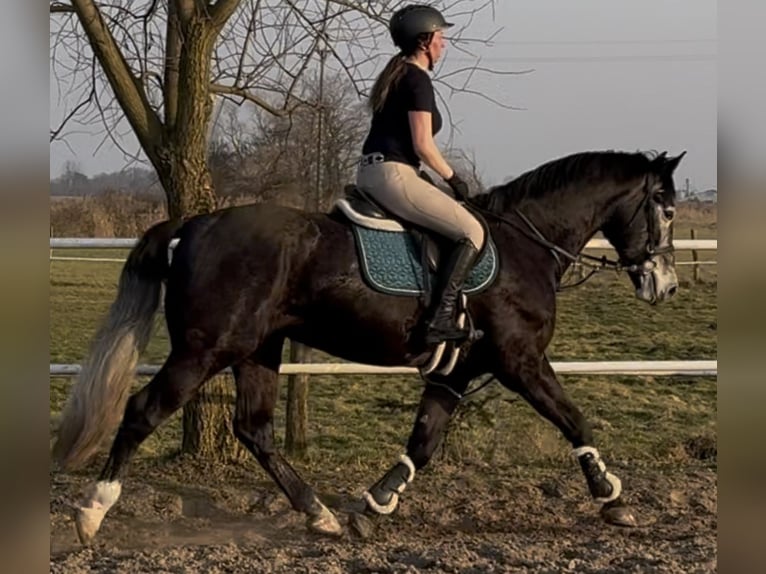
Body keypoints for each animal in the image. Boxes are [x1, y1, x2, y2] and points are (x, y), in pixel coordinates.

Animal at [57, 148, 688, 544]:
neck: (525, 244)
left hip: (257, 350)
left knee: (254, 430)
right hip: (205, 350)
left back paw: (320, 516)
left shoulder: (457, 371)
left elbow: (425, 442)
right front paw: (612, 497)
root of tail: (194, 224)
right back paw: (92, 513)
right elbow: (574, 419)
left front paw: (374, 505)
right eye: (666, 208)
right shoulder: (521, 362)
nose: (667, 286)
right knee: (143, 412)